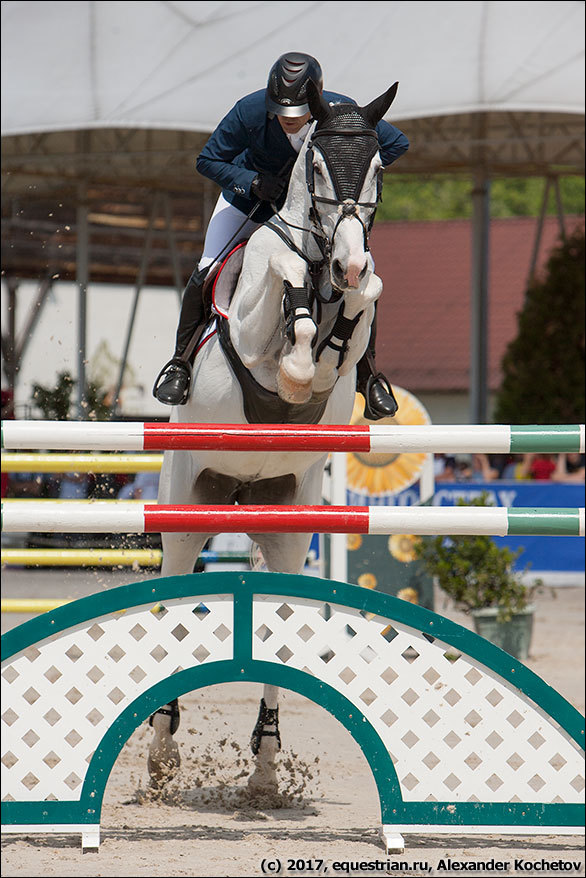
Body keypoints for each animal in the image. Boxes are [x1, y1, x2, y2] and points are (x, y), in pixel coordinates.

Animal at [148, 82, 400, 796]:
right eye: (315, 165)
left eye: (378, 166)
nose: (347, 259)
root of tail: (239, 492)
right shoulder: (255, 315)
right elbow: (286, 296)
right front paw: (295, 362)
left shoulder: (357, 309)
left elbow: (361, 307)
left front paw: (340, 320)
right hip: (187, 507)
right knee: (173, 601)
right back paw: (162, 752)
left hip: (284, 520)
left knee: (281, 628)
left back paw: (263, 764)